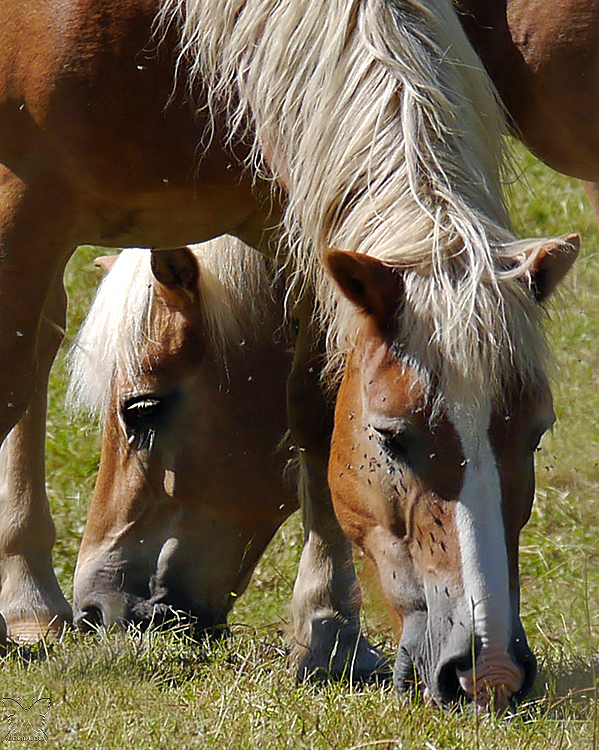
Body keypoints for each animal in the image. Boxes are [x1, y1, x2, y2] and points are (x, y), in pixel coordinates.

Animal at [0, 0, 584, 712]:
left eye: (536, 433)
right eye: (391, 437)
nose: (490, 670)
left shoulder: (295, 212)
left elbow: (313, 406)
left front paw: (327, 636)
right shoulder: (25, 202)